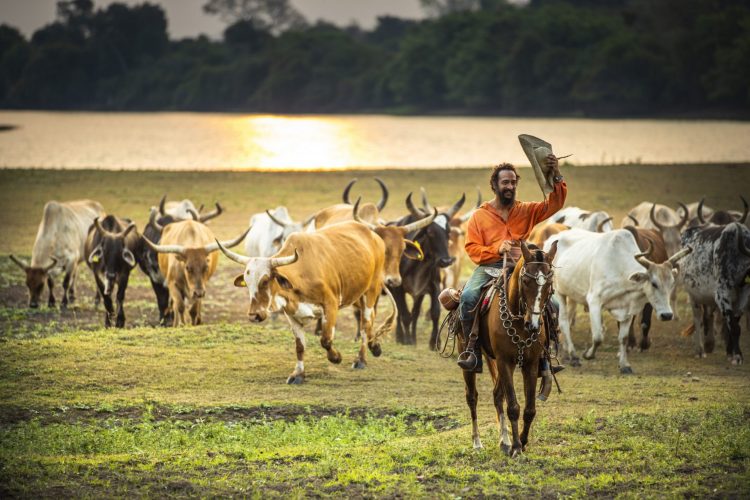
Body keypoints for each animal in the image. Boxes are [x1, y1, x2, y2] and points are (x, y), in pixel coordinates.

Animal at [388, 191, 464, 348]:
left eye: (448, 232)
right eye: (430, 232)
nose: (446, 261)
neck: (418, 263)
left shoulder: (433, 285)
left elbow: (434, 312)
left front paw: (434, 342)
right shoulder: (398, 288)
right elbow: (405, 314)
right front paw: (407, 340)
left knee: (415, 314)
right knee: (400, 313)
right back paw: (400, 336)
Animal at [462, 242, 560, 458]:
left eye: (549, 283)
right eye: (525, 280)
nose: (533, 324)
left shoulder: (530, 363)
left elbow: (529, 408)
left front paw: (521, 442)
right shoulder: (504, 361)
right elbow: (513, 406)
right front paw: (516, 447)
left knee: (497, 396)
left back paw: (504, 441)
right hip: (470, 360)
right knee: (472, 397)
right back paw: (477, 442)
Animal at [548, 229, 692, 374]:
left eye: (672, 283)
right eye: (654, 283)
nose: (667, 315)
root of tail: (554, 237)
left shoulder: (628, 308)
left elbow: (623, 338)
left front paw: (625, 365)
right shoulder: (594, 301)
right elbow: (598, 336)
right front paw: (588, 354)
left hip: (572, 296)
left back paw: (567, 354)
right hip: (559, 293)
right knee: (563, 322)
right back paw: (573, 356)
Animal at [684, 223, 750, 364]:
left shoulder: (743, 297)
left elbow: (733, 325)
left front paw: (731, 353)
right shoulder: (722, 294)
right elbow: (734, 327)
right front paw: (738, 356)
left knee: (708, 316)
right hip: (693, 295)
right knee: (698, 318)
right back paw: (700, 350)